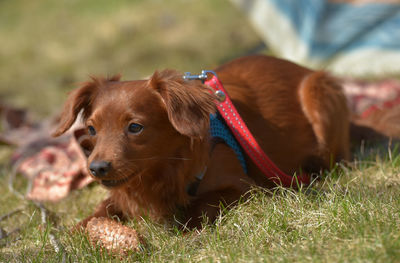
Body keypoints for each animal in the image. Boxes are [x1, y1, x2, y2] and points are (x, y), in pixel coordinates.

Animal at [54, 55, 350, 229]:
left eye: (135, 127)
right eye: (92, 129)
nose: (97, 168)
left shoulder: (242, 187)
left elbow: (203, 203)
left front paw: (185, 225)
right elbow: (104, 208)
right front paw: (79, 229)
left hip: (320, 93)